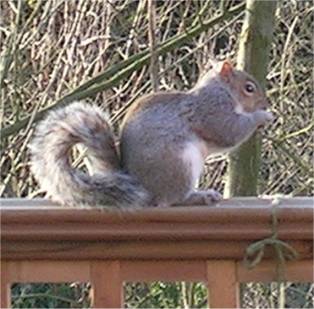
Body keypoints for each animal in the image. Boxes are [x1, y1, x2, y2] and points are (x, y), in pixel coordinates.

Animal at [30, 60, 274, 207]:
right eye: (249, 88)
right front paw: (262, 116)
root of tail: (143, 190)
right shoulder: (212, 110)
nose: (265, 103)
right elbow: (229, 131)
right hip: (180, 166)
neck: (222, 90)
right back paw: (200, 196)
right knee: (173, 199)